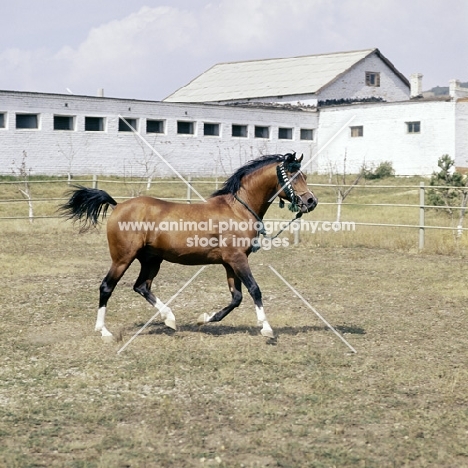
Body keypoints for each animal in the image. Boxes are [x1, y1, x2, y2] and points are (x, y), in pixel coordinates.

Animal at [60, 154, 318, 340]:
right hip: (123, 258)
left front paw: (205, 318)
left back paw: (170, 319)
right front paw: (266, 329)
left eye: (304, 175)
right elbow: (255, 290)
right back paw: (104, 331)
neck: (238, 209)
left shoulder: (230, 263)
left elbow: (236, 297)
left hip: (151, 260)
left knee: (141, 287)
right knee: (107, 287)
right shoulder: (238, 259)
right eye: (293, 177)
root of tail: (118, 205)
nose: (311, 201)